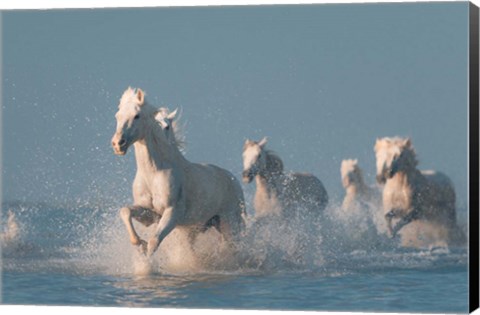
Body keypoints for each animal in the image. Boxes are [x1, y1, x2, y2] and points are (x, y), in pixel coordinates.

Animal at [111, 87, 246, 258]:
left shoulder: (172, 213)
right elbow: (125, 211)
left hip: (230, 223)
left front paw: (146, 257)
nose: (118, 144)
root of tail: (234, 181)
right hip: (197, 228)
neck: (154, 172)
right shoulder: (150, 213)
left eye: (137, 116)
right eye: (117, 116)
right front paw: (139, 243)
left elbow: (154, 241)